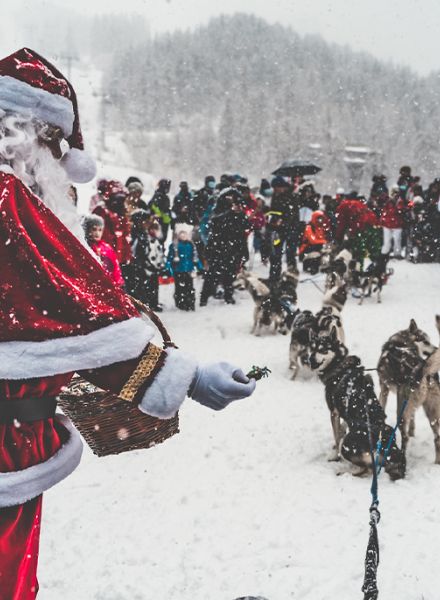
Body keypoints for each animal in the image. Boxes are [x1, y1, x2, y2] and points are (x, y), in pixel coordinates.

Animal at [304, 330, 408, 480]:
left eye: (323, 349)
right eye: (312, 348)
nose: (311, 359)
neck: (339, 366)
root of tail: (388, 446)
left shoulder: (334, 412)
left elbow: (336, 437)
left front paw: (334, 456)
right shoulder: (343, 412)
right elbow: (342, 428)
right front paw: (341, 431)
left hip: (348, 444)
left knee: (368, 469)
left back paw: (343, 472)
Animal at [376, 318, 440, 464]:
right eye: (426, 341)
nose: (436, 348)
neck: (403, 343)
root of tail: (422, 371)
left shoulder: (384, 388)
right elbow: (413, 418)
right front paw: (413, 432)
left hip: (401, 410)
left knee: (404, 437)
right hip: (432, 412)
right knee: (437, 438)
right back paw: (436, 462)